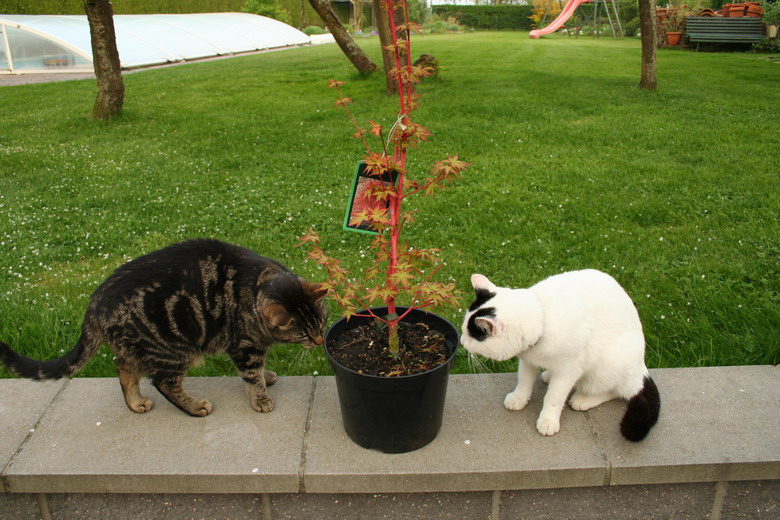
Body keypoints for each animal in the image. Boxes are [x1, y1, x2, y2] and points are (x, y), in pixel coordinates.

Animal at [0, 241, 328, 418]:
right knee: (162, 381)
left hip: (139, 347)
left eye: (322, 323)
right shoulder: (244, 346)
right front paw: (260, 398)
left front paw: (267, 376)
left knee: (123, 368)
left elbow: (258, 372)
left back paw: (135, 403)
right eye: (303, 333)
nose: (319, 340)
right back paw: (194, 407)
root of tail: (95, 302)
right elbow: (251, 375)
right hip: (174, 347)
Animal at [460, 270, 660, 440]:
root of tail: (642, 369)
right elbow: (524, 381)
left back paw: (583, 399)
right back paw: (548, 375)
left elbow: (554, 397)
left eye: (472, 336)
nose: (461, 341)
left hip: (607, 365)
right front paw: (519, 398)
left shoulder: (569, 369)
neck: (542, 317)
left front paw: (548, 420)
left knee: (617, 390)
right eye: (462, 330)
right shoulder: (528, 360)